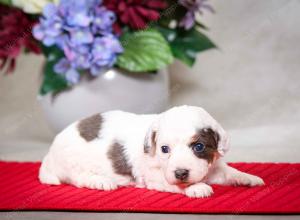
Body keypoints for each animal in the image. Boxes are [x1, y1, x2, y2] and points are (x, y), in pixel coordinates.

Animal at [39, 105, 262, 198]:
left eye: (198, 146)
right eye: (164, 149)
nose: (181, 173)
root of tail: (49, 155)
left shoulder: (213, 166)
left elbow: (229, 171)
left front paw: (248, 177)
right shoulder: (154, 176)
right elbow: (174, 183)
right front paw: (196, 187)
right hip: (72, 163)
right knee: (77, 178)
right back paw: (100, 181)